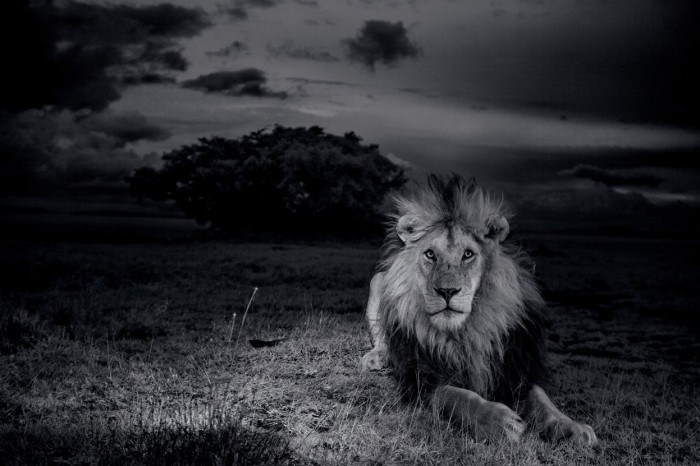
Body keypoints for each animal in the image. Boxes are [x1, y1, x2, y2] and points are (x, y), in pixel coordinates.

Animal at [361, 175, 597, 445]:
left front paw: (572, 427)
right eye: (430, 254)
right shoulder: (421, 378)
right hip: (378, 281)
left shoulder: (513, 366)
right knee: (382, 339)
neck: (465, 331)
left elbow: (542, 399)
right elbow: (456, 396)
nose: (447, 291)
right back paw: (376, 357)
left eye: (468, 254)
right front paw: (498, 420)